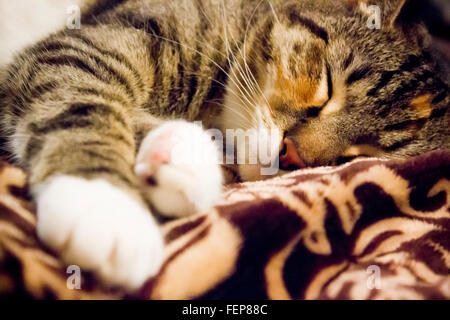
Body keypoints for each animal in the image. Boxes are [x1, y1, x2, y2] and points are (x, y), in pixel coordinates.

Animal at [0, 0, 448, 290]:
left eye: (361, 154)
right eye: (326, 87)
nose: (293, 156)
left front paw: (180, 154)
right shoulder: (77, 50)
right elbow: (85, 102)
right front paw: (103, 205)